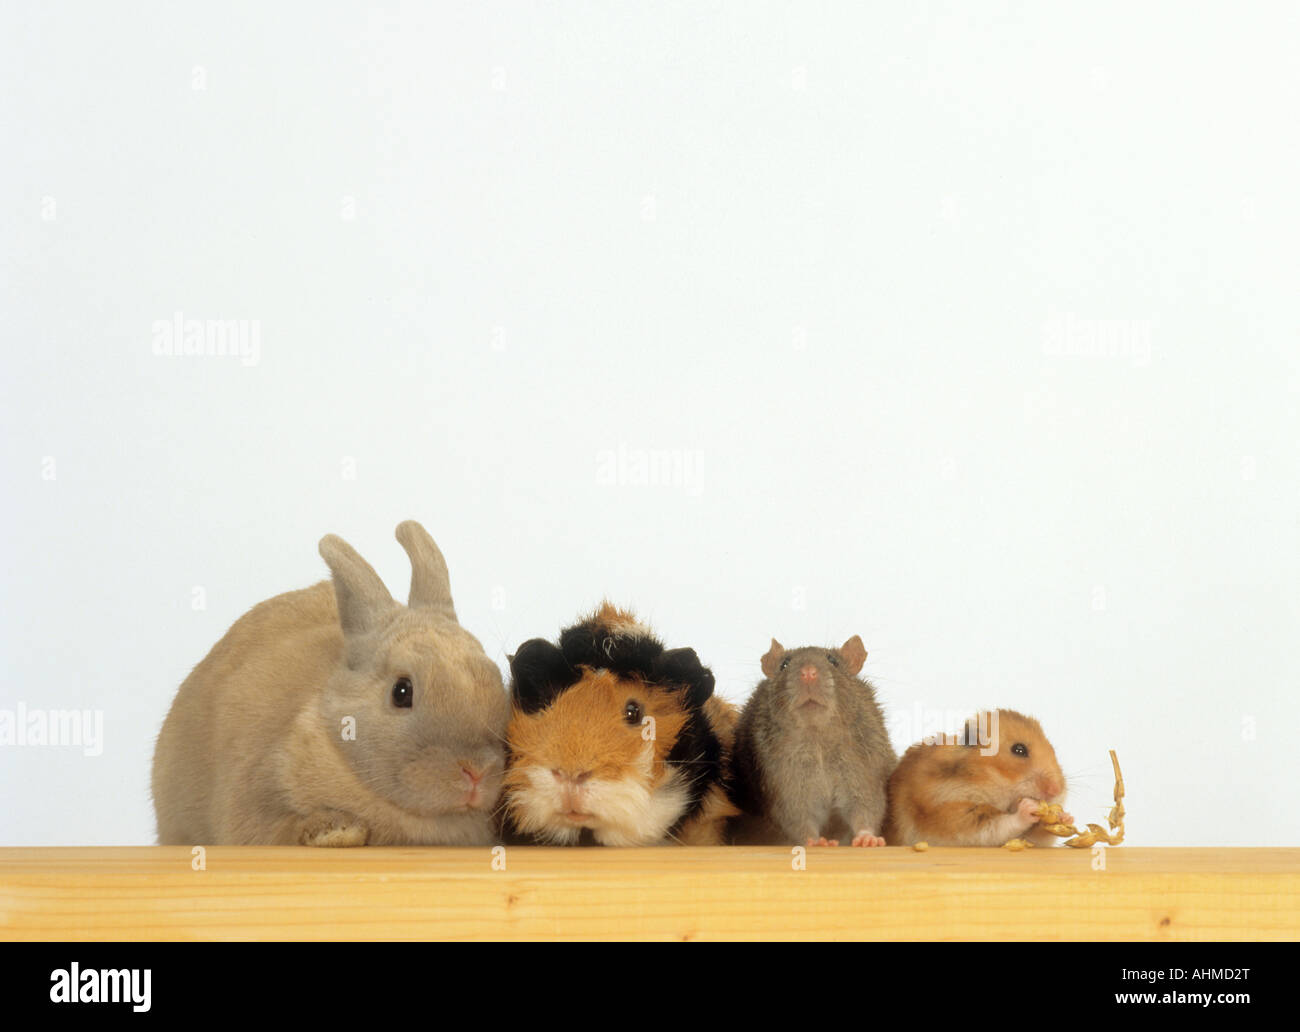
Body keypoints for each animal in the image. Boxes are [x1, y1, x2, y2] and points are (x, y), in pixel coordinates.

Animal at [151, 520, 510, 846]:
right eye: (401, 692)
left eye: (495, 676)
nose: (478, 771)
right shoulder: (254, 796)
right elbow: (276, 830)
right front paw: (336, 830)